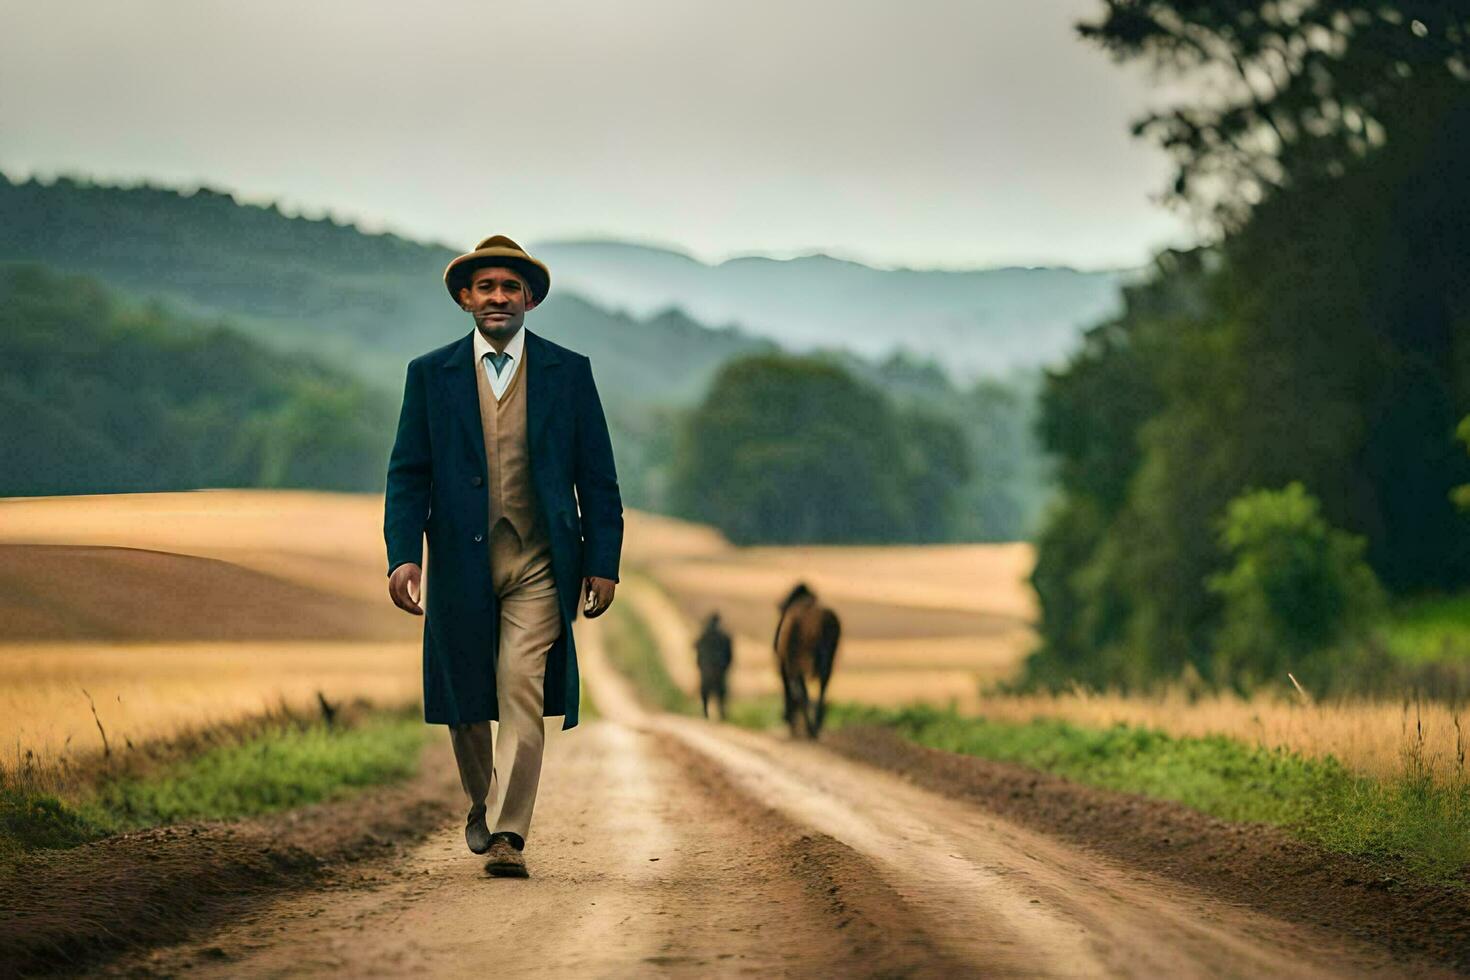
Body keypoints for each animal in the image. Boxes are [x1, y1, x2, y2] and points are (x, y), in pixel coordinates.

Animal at [770, 581, 840, 734]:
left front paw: (790, 720)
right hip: (826, 664)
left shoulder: (785, 666)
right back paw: (816, 724)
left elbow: (791, 690)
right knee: (822, 688)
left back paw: (808, 727)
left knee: (800, 692)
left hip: (796, 665)